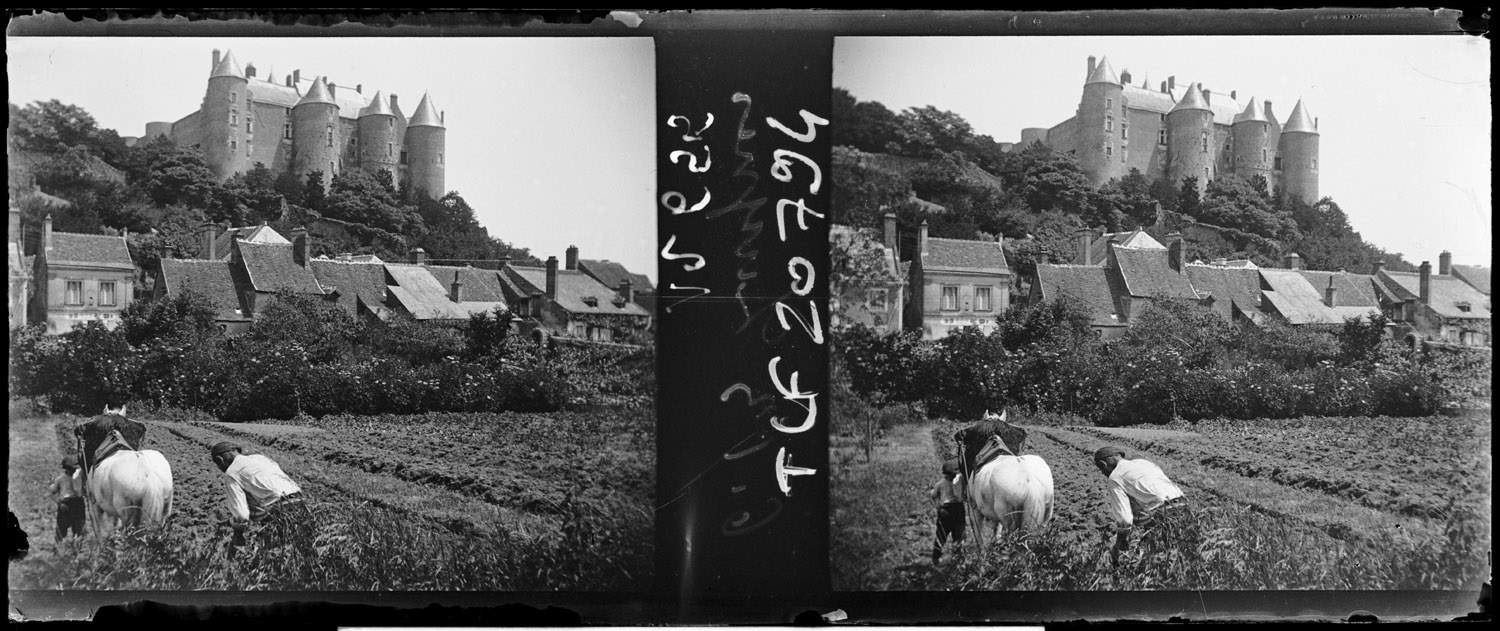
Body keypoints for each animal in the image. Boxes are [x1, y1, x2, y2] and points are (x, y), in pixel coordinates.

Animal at [960, 410, 1056, 542]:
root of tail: (1032, 486)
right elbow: (997, 529)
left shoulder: (973, 507)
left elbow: (979, 538)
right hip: (1044, 519)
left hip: (1011, 522)